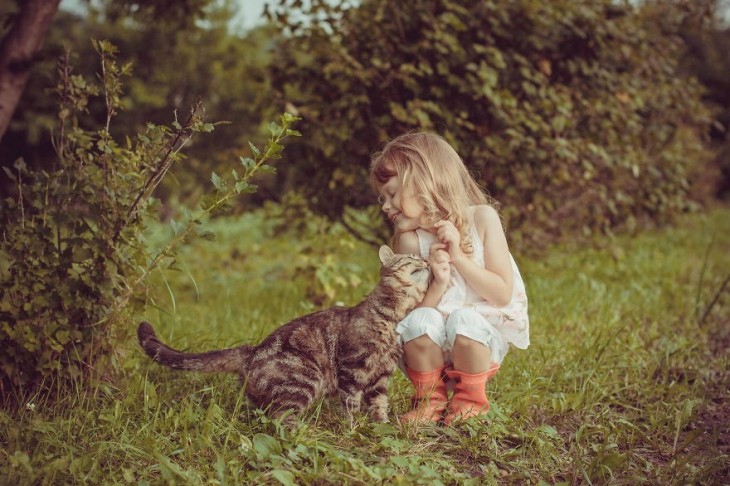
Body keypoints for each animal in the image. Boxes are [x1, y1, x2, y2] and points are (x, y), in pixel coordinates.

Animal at [138, 245, 426, 424]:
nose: (425, 259)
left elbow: (379, 404)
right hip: (303, 379)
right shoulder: (352, 367)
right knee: (281, 419)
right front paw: (353, 427)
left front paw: (381, 426)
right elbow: (351, 403)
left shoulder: (382, 374)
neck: (397, 316)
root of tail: (252, 351)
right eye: (412, 256)